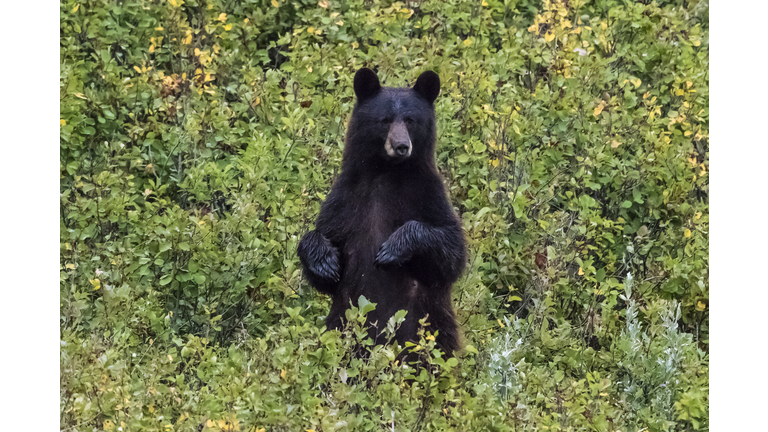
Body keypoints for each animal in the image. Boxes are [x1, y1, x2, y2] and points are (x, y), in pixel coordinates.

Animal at [296, 68, 464, 358]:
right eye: (384, 120)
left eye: (410, 120)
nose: (401, 146)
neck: (387, 172)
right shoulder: (347, 199)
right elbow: (325, 245)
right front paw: (325, 261)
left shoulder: (428, 195)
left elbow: (451, 252)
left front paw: (392, 249)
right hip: (340, 324)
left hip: (428, 329)